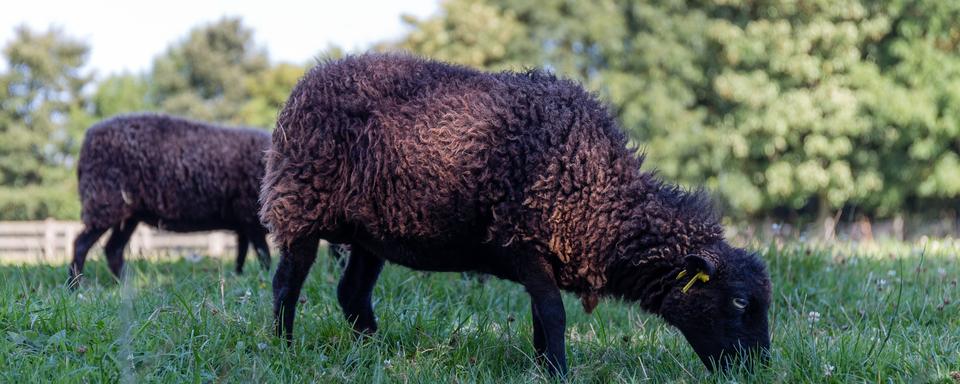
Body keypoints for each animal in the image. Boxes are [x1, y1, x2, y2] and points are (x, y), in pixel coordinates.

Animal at [69, 112, 272, 284]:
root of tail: (89, 138)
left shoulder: (243, 221)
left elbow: (241, 254)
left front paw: (240, 277)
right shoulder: (250, 218)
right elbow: (263, 254)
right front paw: (264, 278)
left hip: (127, 214)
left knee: (113, 249)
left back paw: (125, 285)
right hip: (104, 202)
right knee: (81, 244)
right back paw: (75, 286)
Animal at [256, 54, 772, 376]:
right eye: (740, 302)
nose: (760, 371)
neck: (602, 198)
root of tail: (308, 79)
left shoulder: (544, 254)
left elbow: (542, 321)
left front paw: (546, 367)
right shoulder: (527, 243)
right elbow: (554, 315)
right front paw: (560, 372)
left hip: (369, 233)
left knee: (352, 295)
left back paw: (374, 354)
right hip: (299, 205)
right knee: (287, 284)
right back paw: (283, 349)